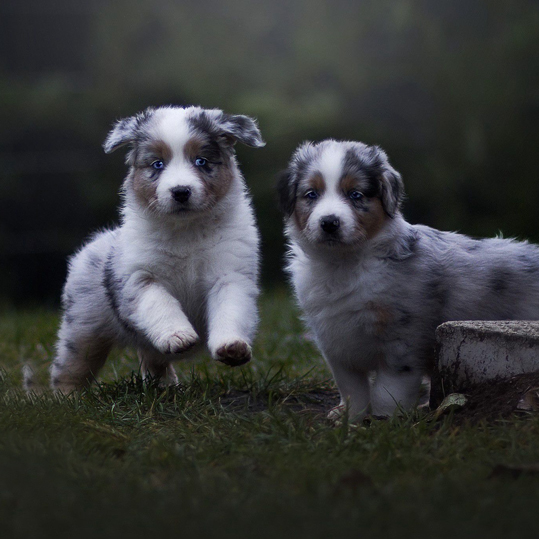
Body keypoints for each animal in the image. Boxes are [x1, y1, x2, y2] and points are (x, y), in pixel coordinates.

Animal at [50, 105, 266, 392]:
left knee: (152, 357)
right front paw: (179, 335)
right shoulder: (140, 277)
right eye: (157, 164)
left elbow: (229, 308)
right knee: (69, 367)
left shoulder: (230, 274)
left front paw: (232, 347)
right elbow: (160, 303)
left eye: (201, 161)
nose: (181, 191)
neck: (186, 230)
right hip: (84, 328)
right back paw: (67, 397)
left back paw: (165, 386)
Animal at [278, 139, 539, 422]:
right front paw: (350, 418)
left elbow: (388, 390)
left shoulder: (402, 341)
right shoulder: (335, 342)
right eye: (311, 194)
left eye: (355, 195)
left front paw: (385, 422)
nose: (329, 223)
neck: (343, 264)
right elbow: (351, 388)